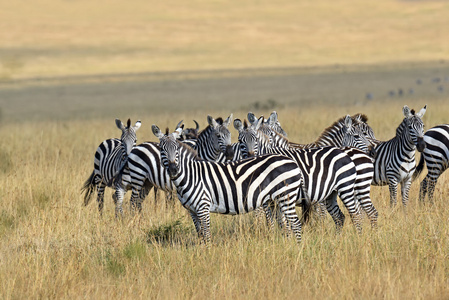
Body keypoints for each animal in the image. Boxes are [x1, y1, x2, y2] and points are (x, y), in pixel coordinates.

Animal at [152, 124, 310, 244]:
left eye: (176, 149)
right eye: (162, 149)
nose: (173, 170)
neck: (191, 176)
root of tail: (293, 162)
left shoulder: (203, 206)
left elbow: (207, 235)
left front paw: (208, 255)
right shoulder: (192, 211)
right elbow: (200, 234)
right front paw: (201, 253)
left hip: (286, 196)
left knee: (296, 224)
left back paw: (297, 249)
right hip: (276, 200)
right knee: (285, 225)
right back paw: (286, 246)